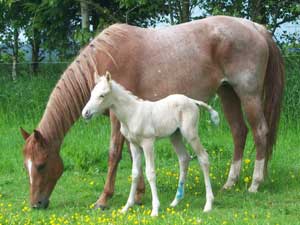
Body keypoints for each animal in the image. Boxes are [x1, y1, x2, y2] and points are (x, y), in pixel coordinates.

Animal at [83, 72, 219, 216]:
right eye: (92, 93)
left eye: (102, 95)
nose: (85, 113)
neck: (132, 114)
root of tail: (192, 101)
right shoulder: (134, 145)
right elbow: (135, 173)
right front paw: (126, 207)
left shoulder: (147, 143)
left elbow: (150, 173)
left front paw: (155, 210)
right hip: (175, 136)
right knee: (184, 158)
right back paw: (175, 201)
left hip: (190, 133)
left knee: (203, 158)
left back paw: (208, 204)